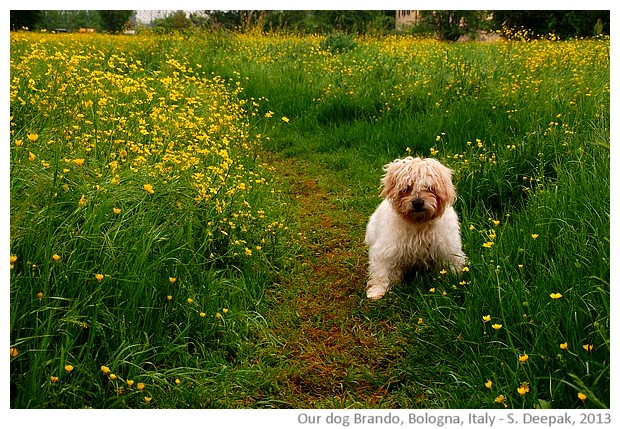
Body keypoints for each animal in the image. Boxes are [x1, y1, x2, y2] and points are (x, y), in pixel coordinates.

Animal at [364, 155, 464, 300]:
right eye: (407, 188)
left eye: (429, 188)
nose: (418, 203)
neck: (418, 224)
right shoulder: (387, 250)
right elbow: (382, 271)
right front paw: (378, 290)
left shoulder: (447, 248)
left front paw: (454, 282)